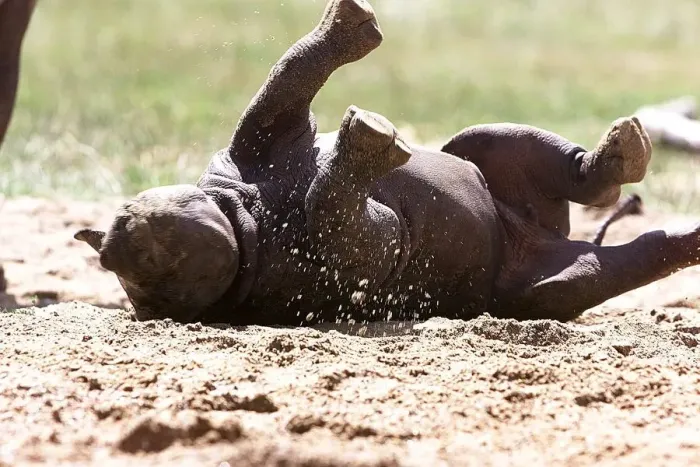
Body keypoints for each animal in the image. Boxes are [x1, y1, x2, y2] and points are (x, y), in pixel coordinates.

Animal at [77, 0, 700, 326]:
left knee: (499, 146)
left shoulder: (251, 149)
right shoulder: (345, 258)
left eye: (137, 228)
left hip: (489, 163)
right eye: (154, 264)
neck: (247, 216)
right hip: (537, 280)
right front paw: (368, 146)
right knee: (591, 271)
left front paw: (349, 27)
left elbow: (282, 87)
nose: (143, 231)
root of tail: (544, 233)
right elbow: (339, 207)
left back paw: (621, 153)